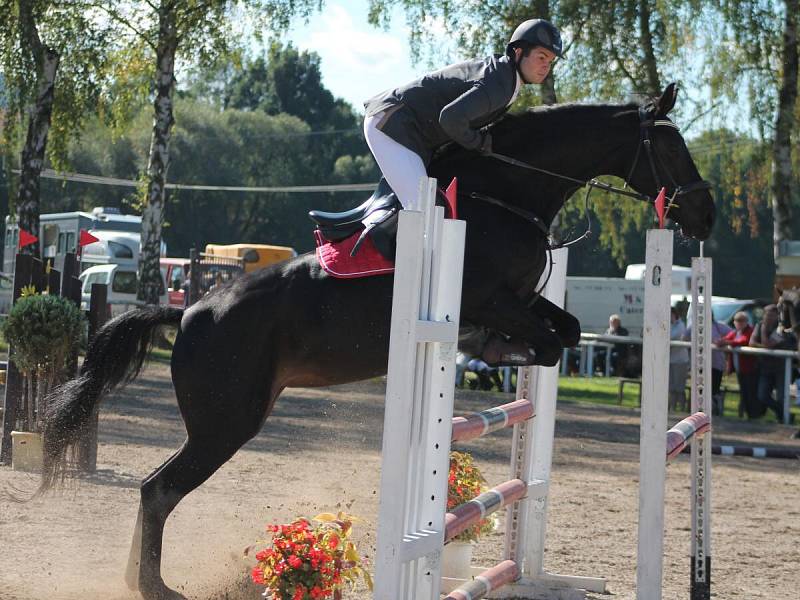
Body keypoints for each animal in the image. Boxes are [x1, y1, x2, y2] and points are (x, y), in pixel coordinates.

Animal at [37, 85, 712, 600]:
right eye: (671, 145)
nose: (704, 214)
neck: (506, 195)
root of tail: (188, 314)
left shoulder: (520, 301)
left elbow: (565, 332)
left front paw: (504, 358)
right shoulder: (490, 300)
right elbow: (544, 339)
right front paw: (499, 355)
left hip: (225, 421)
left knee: (157, 490)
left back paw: (138, 581)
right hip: (226, 424)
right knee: (158, 490)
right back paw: (156, 587)